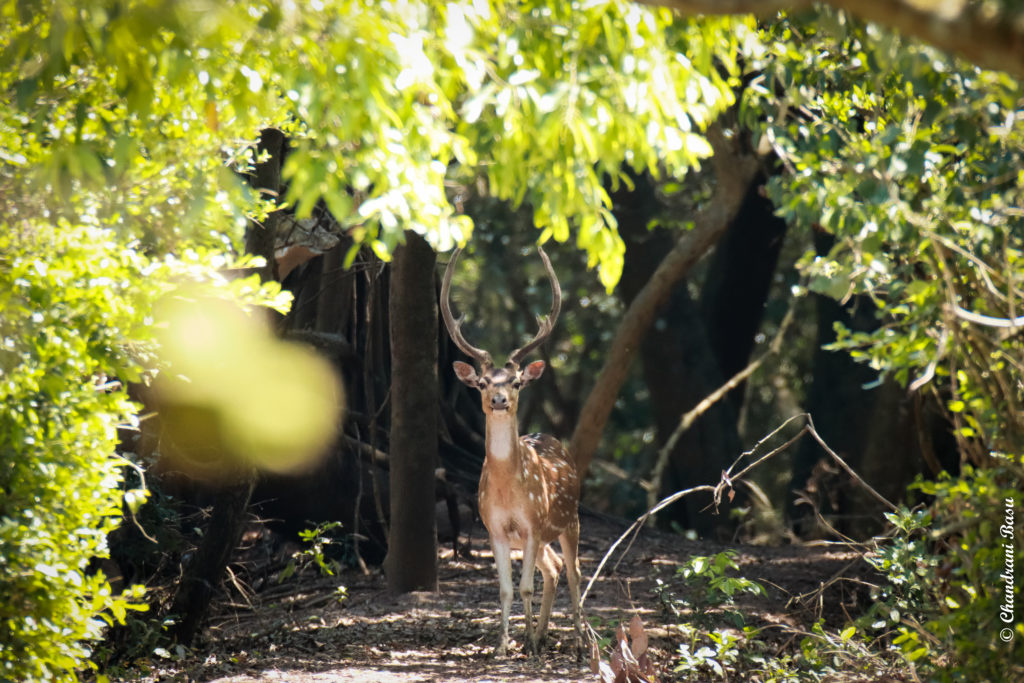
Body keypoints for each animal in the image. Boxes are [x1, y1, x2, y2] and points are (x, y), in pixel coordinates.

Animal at [441, 245, 583, 658]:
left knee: (573, 571)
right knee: (554, 568)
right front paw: (505, 644)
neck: (509, 489)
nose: (500, 399)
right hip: (543, 534)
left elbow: (524, 587)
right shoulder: (496, 528)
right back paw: (542, 634)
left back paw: (579, 640)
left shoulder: (534, 523)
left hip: (569, 519)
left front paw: (527, 644)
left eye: (517, 381)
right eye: (483, 382)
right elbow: (506, 589)